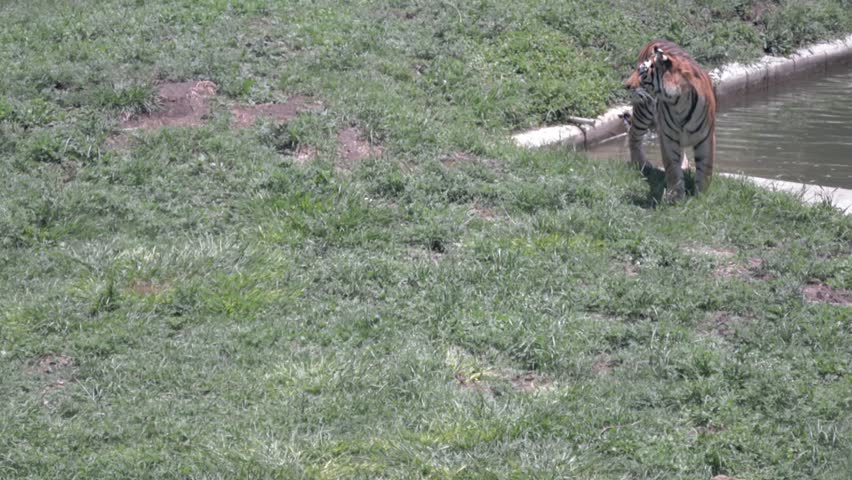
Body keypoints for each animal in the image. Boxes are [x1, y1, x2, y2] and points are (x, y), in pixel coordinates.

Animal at [623, 39, 716, 201]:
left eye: (642, 72)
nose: (626, 85)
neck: (679, 102)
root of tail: (656, 39)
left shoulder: (706, 138)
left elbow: (705, 167)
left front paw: (701, 197)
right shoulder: (668, 136)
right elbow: (672, 167)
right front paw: (675, 196)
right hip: (644, 109)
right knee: (634, 134)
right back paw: (640, 163)